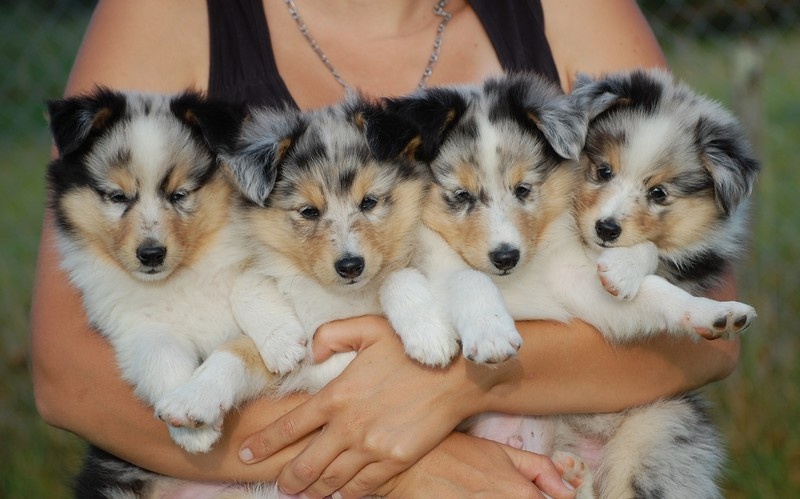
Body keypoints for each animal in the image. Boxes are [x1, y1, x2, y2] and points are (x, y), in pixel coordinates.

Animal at [390, 70, 760, 499]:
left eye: (523, 190)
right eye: (461, 196)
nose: (506, 257)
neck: (518, 279)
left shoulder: (573, 284)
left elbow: (656, 292)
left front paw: (716, 313)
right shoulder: (434, 264)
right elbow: (467, 276)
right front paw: (491, 334)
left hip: (657, 433)